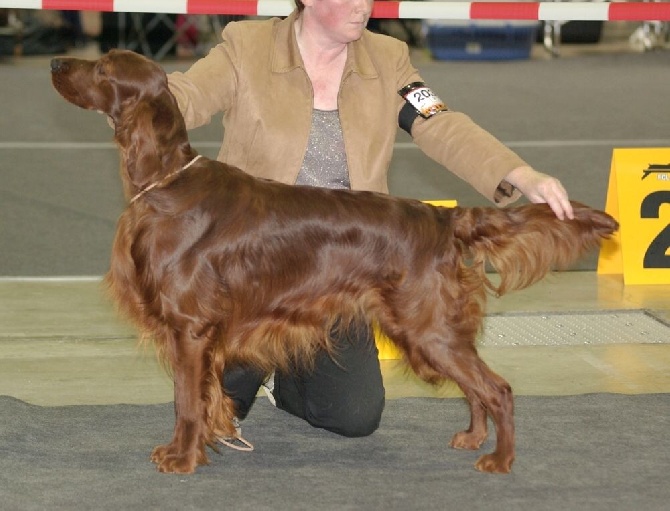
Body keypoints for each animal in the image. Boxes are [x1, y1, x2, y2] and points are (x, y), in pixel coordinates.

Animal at [51, 50, 620, 474]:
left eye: (103, 69)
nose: (56, 62)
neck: (168, 182)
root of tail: (443, 218)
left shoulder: (189, 327)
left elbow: (185, 401)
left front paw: (182, 459)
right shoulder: (195, 334)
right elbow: (195, 398)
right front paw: (192, 448)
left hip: (428, 326)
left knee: (497, 388)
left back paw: (500, 460)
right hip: (429, 330)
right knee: (475, 387)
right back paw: (473, 438)